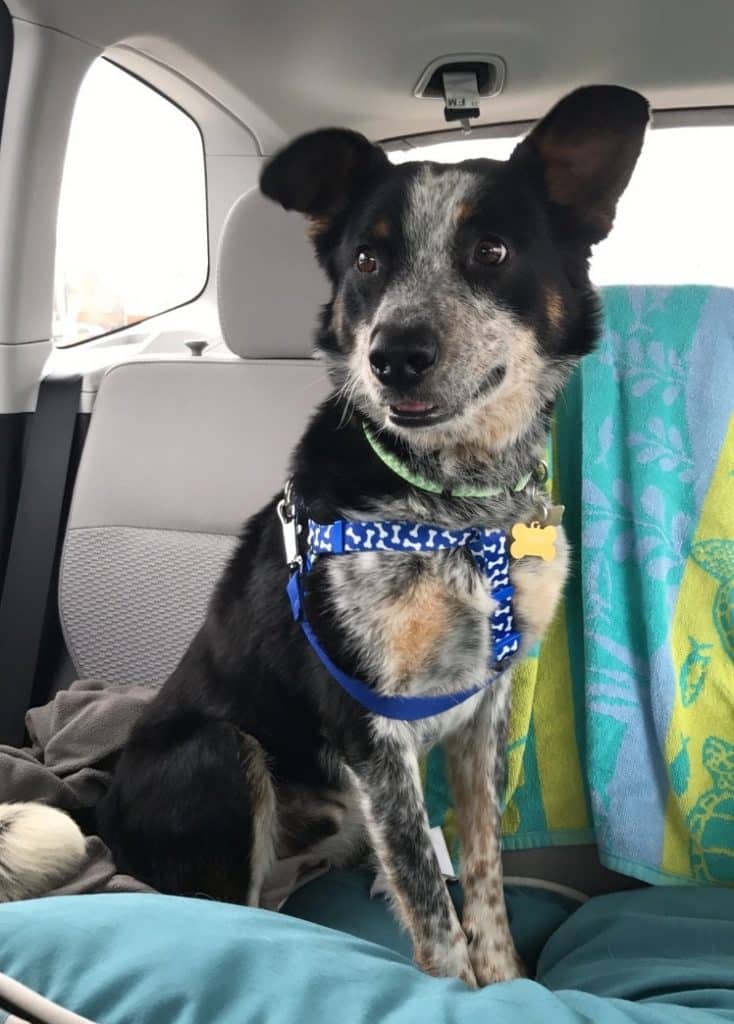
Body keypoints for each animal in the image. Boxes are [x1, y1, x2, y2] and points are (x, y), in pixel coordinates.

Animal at [2, 86, 651, 983]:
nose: (395, 355)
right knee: (222, 908)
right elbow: (428, 897)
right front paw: (461, 993)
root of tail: (102, 811)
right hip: (219, 748)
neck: (453, 502)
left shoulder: (482, 713)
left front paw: (507, 980)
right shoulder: (367, 720)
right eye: (369, 261)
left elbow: (480, 872)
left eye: (491, 250)